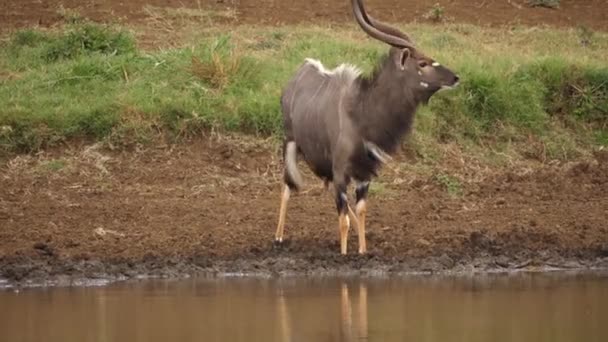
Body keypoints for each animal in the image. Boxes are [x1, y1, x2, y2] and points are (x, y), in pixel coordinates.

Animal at [274, 0, 458, 255]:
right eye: (422, 63)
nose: (455, 78)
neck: (361, 112)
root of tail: (301, 70)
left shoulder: (364, 174)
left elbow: (360, 211)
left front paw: (362, 251)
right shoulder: (342, 171)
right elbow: (342, 220)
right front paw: (344, 254)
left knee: (325, 188)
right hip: (290, 143)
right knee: (287, 185)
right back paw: (278, 237)